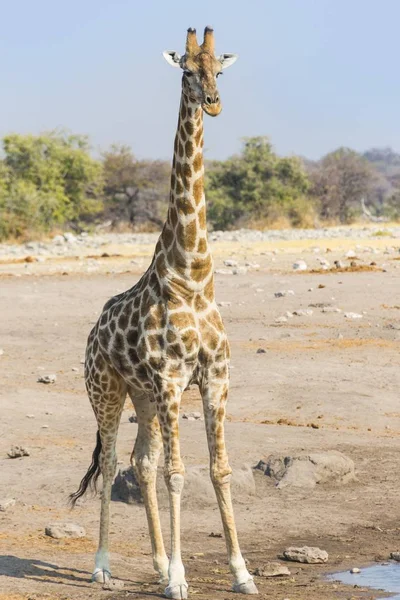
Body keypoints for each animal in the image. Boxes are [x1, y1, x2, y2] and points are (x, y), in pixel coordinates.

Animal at [71, 25, 260, 596]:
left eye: (219, 68)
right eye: (186, 71)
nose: (214, 102)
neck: (193, 276)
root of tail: (93, 331)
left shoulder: (214, 377)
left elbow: (218, 469)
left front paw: (241, 572)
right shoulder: (175, 379)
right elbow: (180, 472)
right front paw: (179, 578)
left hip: (145, 397)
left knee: (142, 461)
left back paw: (154, 563)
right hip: (107, 389)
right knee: (114, 460)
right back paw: (104, 566)